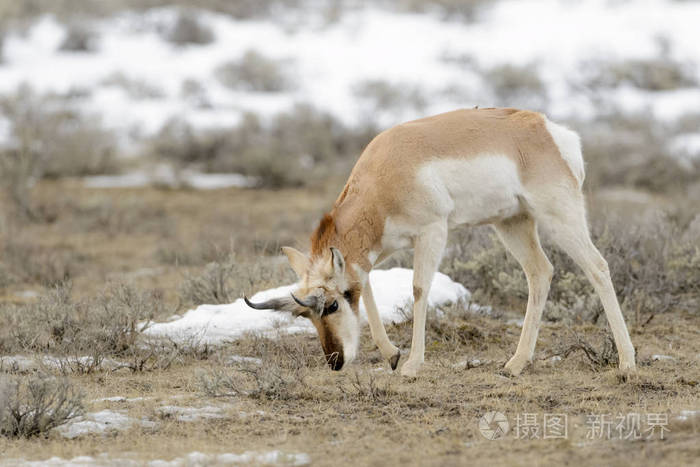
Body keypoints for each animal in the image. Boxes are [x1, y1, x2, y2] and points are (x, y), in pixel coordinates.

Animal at [243, 108, 636, 378]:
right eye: (307, 315)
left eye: (333, 306)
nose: (335, 361)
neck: (385, 171)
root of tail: (551, 132)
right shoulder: (379, 251)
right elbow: (367, 286)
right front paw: (391, 354)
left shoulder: (433, 232)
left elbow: (418, 289)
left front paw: (411, 364)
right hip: (512, 224)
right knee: (541, 272)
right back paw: (514, 364)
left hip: (559, 218)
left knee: (597, 267)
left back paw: (626, 363)